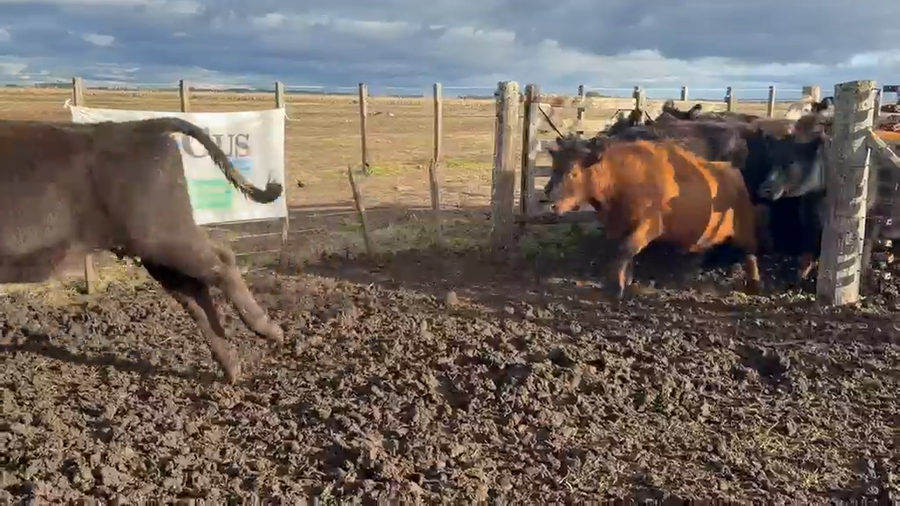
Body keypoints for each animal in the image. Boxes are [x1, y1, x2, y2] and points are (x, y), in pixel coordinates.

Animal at [0, 117, 286, 384]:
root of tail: (138, 126)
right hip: (158, 252)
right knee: (197, 291)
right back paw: (232, 367)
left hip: (164, 237)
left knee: (222, 263)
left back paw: (270, 330)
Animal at [545, 137, 762, 298]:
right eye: (554, 168)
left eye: (573, 172)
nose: (551, 203)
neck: (622, 177)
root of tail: (733, 171)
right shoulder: (617, 226)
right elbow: (621, 252)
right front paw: (624, 281)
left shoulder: (648, 226)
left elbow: (626, 249)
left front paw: (617, 287)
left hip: (744, 230)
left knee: (750, 253)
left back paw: (754, 285)